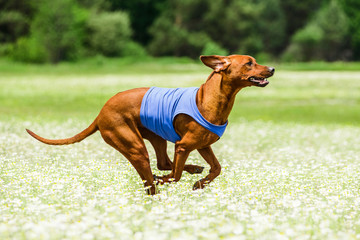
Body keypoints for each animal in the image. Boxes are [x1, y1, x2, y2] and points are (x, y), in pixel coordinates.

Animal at [27, 54, 276, 195]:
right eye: (249, 63)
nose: (272, 69)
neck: (210, 99)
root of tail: (100, 114)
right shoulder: (184, 146)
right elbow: (175, 176)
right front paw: (180, 180)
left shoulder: (203, 145)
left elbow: (216, 168)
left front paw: (199, 184)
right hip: (135, 146)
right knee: (152, 180)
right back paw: (157, 187)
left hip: (157, 135)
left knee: (163, 163)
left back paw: (192, 170)